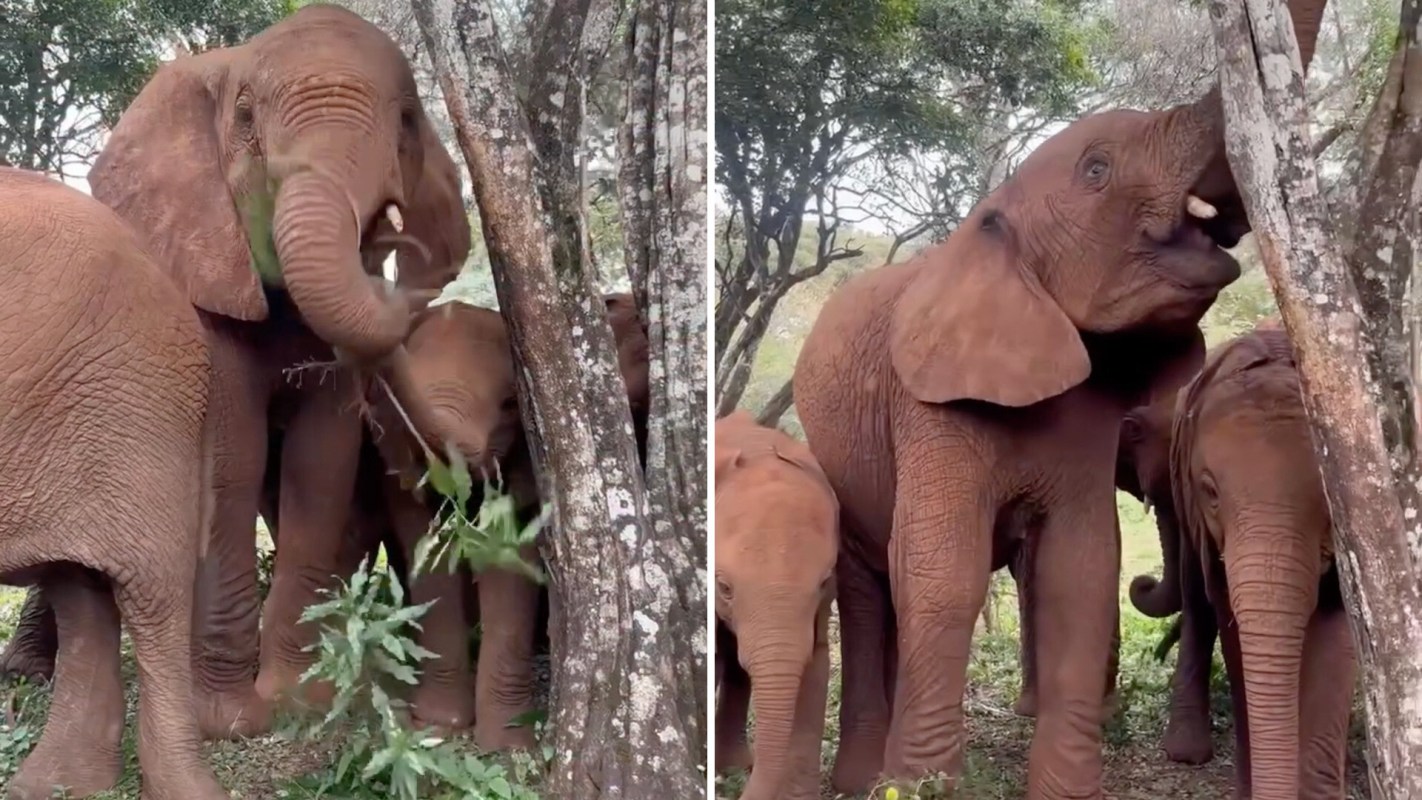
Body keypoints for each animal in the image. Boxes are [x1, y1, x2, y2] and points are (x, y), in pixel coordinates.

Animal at [86, 4, 472, 735]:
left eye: (409, 119)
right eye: (244, 116)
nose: (390, 247)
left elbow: (320, 464)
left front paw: (299, 701)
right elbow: (234, 458)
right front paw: (230, 721)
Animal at [791, 2, 1325, 794]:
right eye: (1098, 170)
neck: (990, 219)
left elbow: (1080, 572)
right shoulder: (926, 409)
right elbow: (941, 572)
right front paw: (923, 784)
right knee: (867, 585)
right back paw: (860, 776)